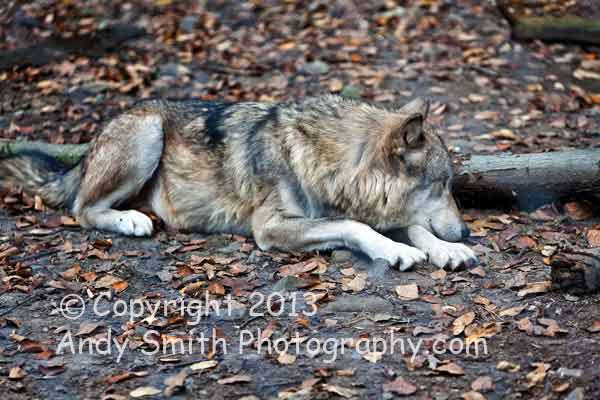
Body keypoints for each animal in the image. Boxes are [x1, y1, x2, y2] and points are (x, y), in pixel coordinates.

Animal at [0, 96, 478, 272]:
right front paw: (396, 251)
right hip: (146, 134)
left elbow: (411, 224)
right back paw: (131, 221)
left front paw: (446, 249)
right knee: (81, 209)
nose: (467, 230)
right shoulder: (271, 227)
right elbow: (356, 226)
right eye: (443, 184)